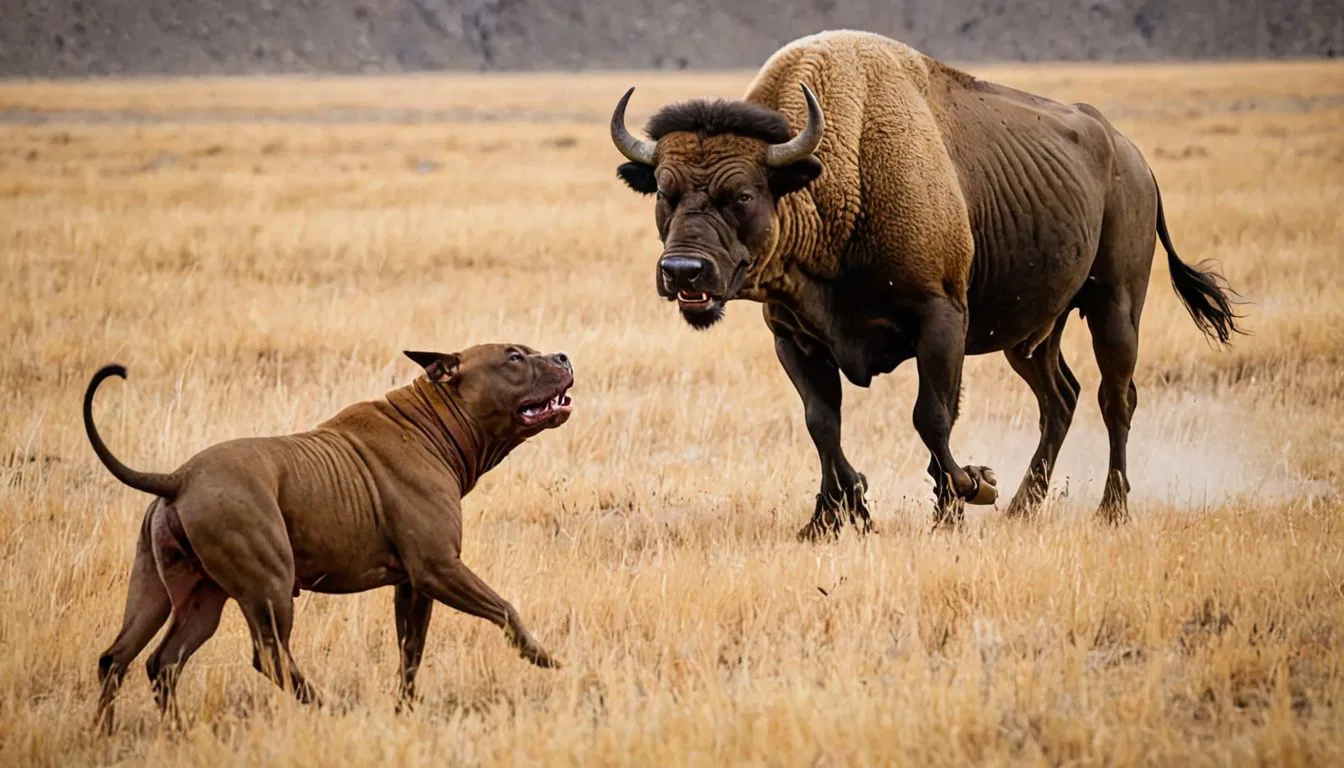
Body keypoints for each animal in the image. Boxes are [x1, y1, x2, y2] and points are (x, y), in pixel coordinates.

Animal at [82, 344, 577, 731]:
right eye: (513, 357)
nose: (563, 356)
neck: (432, 425)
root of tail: (178, 479)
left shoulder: (413, 586)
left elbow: (410, 653)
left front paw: (405, 711)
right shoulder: (438, 568)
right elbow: (506, 610)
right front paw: (549, 662)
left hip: (174, 597)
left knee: (131, 660)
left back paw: (129, 734)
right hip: (267, 588)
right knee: (268, 658)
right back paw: (329, 709)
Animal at [615, 27, 1241, 538]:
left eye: (742, 195)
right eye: (664, 191)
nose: (683, 272)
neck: (837, 174)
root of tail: (1133, 157)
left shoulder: (940, 322)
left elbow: (931, 415)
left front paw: (967, 492)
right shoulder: (794, 337)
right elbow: (823, 423)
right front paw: (835, 516)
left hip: (1115, 305)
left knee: (1116, 398)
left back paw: (1110, 510)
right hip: (1032, 335)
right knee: (1060, 398)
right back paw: (1022, 508)